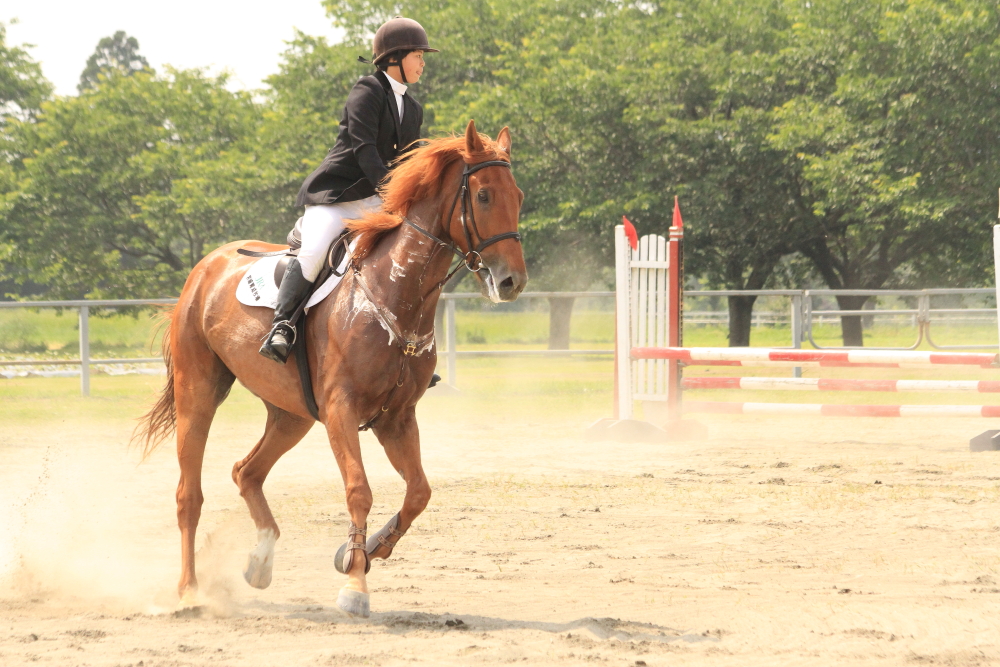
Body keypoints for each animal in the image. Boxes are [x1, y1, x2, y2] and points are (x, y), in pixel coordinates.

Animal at [133, 120, 527, 617]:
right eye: (484, 196)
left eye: (518, 196)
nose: (512, 282)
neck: (395, 293)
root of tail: (206, 265)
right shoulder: (342, 409)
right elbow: (359, 489)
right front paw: (356, 584)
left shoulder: (397, 418)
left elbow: (419, 493)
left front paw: (365, 551)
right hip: (198, 391)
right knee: (190, 494)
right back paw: (188, 591)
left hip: (292, 415)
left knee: (247, 472)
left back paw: (260, 561)